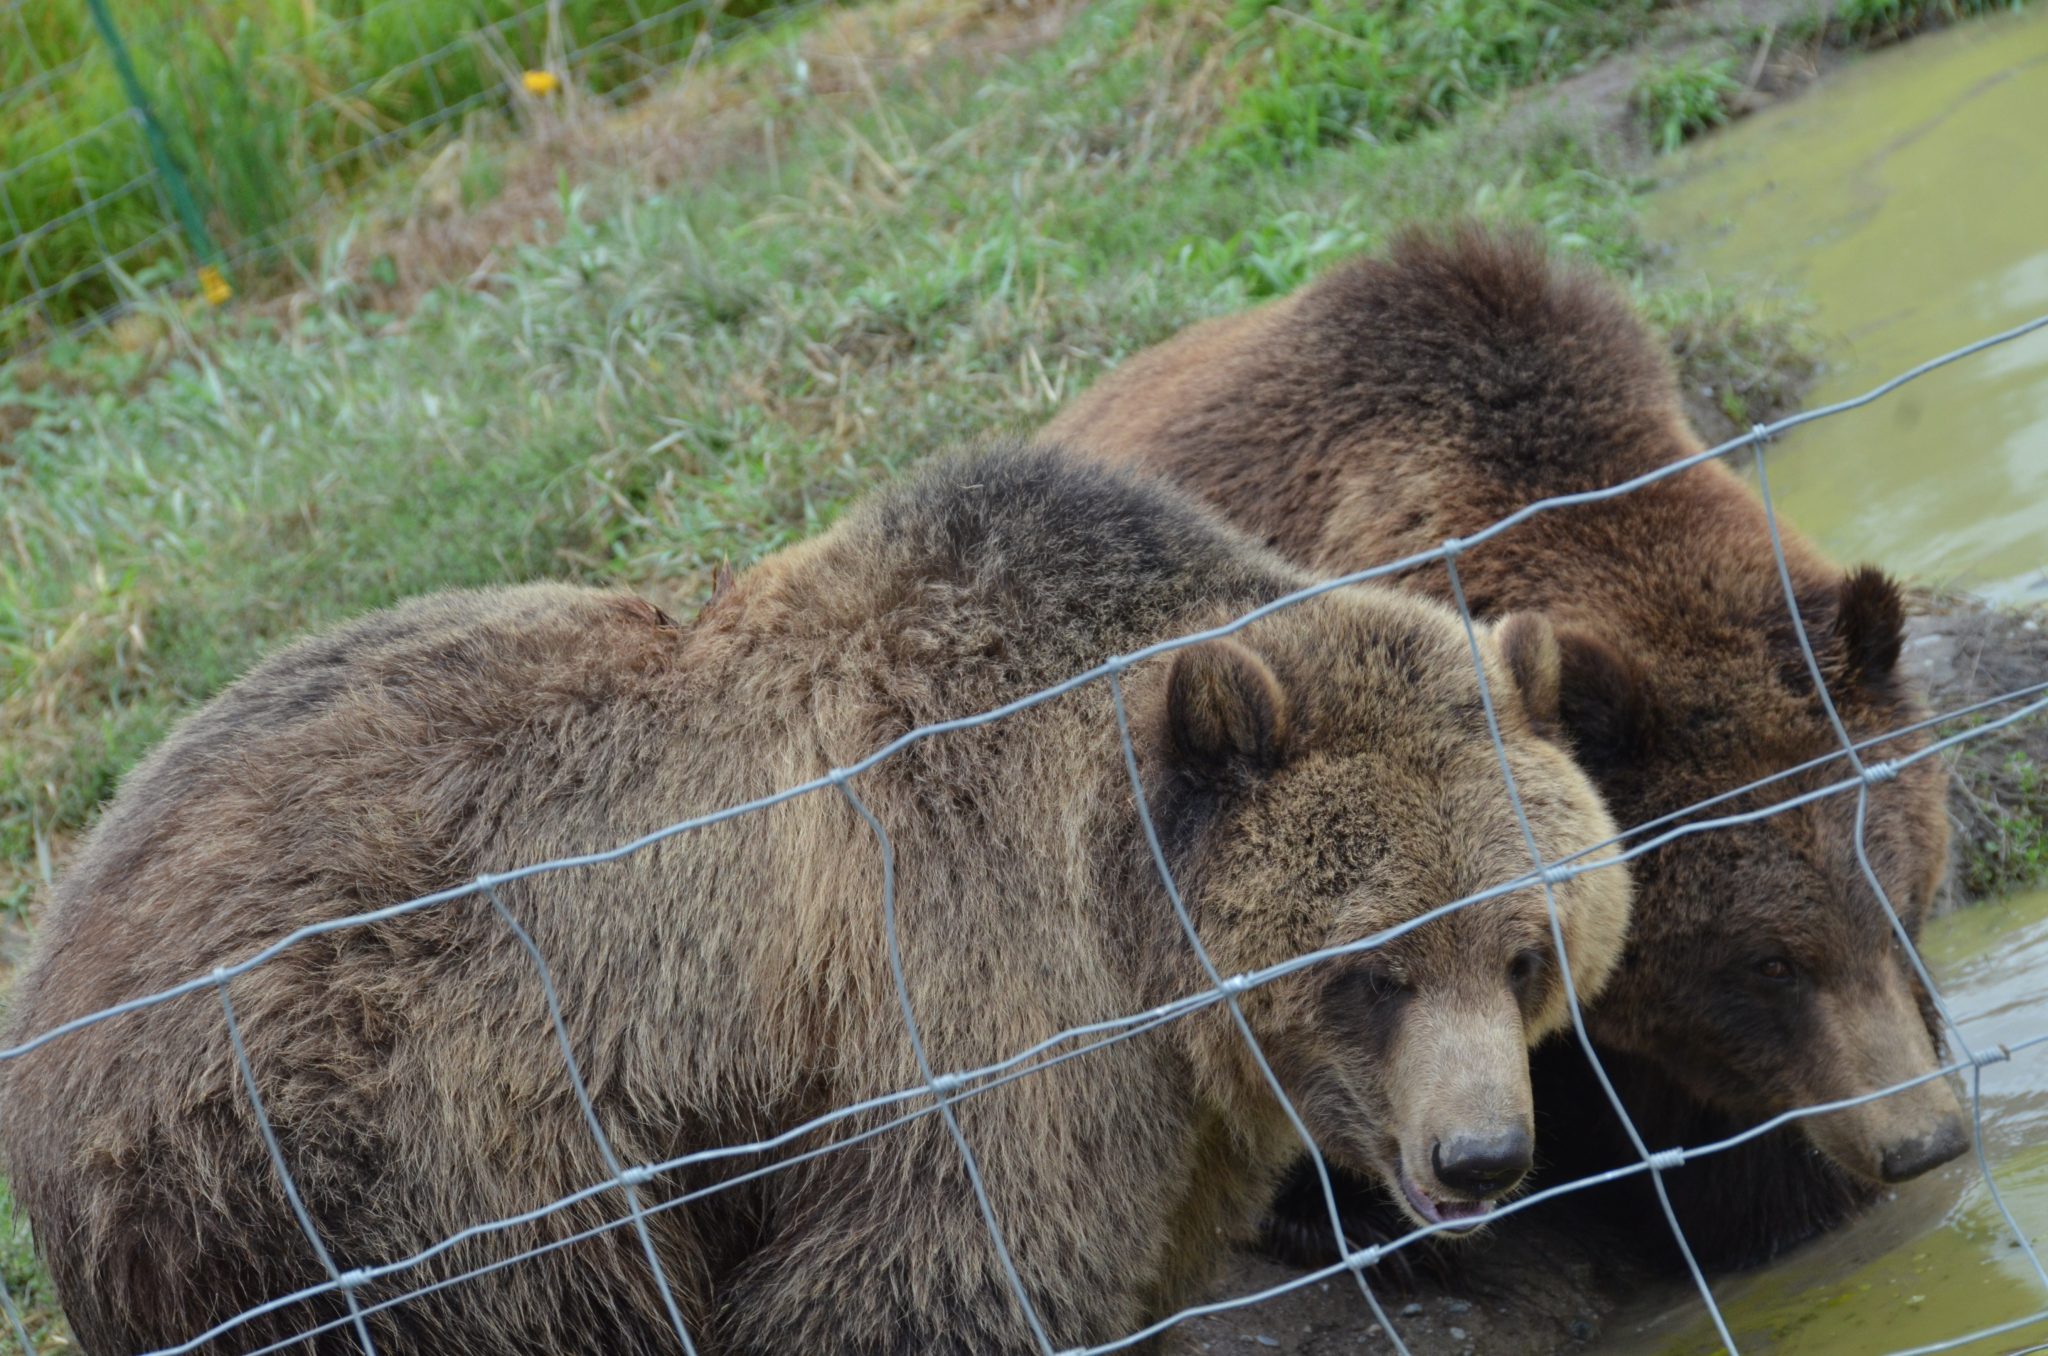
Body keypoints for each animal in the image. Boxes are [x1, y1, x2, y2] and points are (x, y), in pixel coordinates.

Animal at [4, 448, 1630, 1356]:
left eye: (1526, 947)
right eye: (1376, 965)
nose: (1484, 1155)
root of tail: (59, 956)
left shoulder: (1157, 1113)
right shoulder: (966, 1020)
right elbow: (916, 1289)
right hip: (388, 1176)